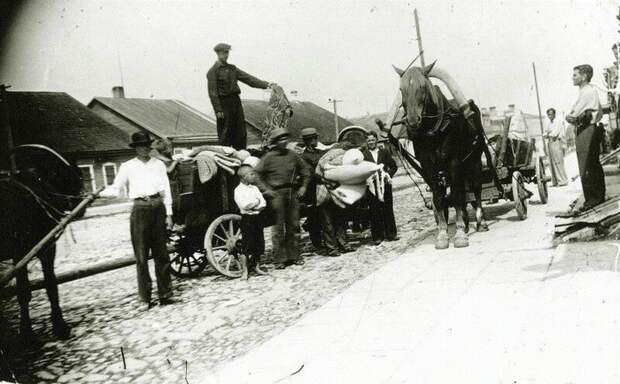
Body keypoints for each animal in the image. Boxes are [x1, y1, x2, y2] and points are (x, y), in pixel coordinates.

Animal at [392, 63, 490, 249]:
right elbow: (439, 198)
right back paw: (466, 222)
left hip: (473, 160)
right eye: (401, 89)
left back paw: (481, 222)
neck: (433, 131)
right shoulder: (428, 166)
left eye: (422, 86)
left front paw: (459, 235)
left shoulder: (454, 162)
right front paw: (443, 235)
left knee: (476, 189)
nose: (413, 121)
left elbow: (457, 196)